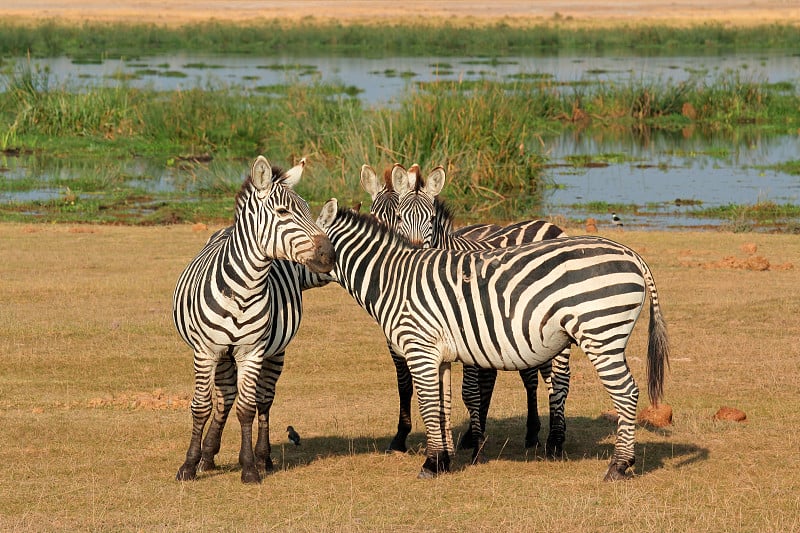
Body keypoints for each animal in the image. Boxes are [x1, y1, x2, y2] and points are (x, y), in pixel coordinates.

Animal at [173, 156, 336, 484]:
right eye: (283, 212)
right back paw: (207, 456)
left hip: (275, 352)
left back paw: (263, 458)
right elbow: (201, 407)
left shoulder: (252, 352)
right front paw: (189, 465)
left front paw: (249, 466)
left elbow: (247, 408)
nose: (330, 254)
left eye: (308, 210)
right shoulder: (206, 351)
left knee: (263, 400)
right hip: (223, 356)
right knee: (223, 399)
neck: (244, 290)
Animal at [316, 201, 672, 482]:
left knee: (626, 393)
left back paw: (618, 466)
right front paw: (444, 460)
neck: (393, 279)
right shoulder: (439, 356)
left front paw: (430, 464)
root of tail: (630, 254)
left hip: (602, 333)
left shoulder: (420, 349)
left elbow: (429, 405)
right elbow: (443, 405)